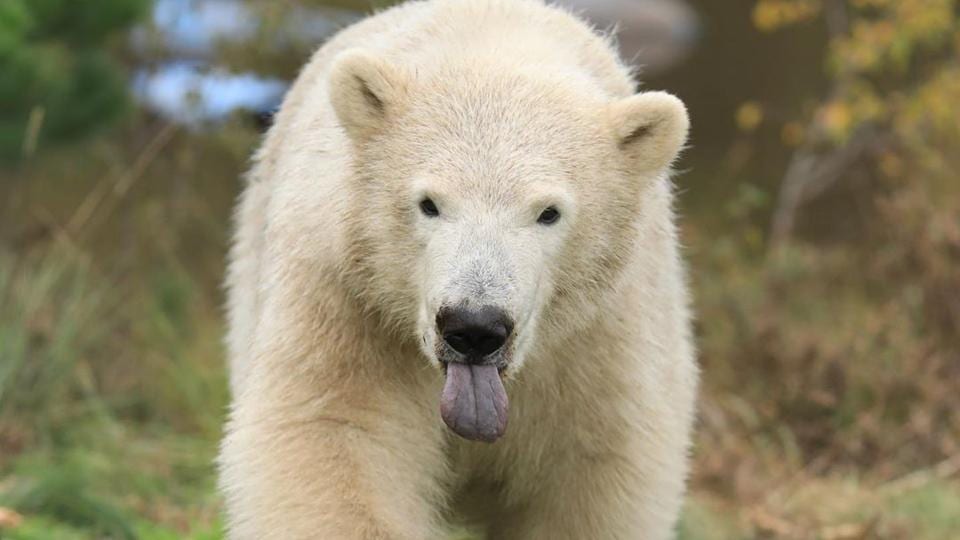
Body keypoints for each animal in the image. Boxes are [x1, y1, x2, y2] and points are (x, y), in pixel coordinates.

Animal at [218, 0, 696, 536]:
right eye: (429, 203)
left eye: (549, 212)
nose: (474, 327)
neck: (493, 46)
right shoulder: (347, 295)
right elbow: (335, 428)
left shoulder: (600, 334)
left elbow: (593, 466)